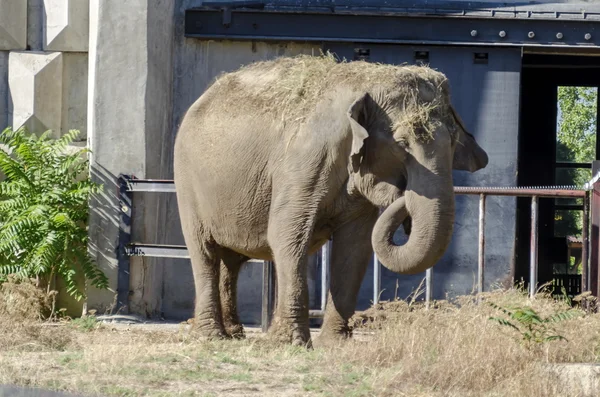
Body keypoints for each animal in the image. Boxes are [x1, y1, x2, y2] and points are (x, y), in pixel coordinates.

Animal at [172, 53, 488, 346]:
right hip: (187, 181)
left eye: (453, 143)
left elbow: (356, 245)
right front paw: (292, 343)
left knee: (231, 261)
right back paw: (212, 336)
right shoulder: (304, 162)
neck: (365, 84)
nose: (403, 193)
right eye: (401, 144)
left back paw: (234, 334)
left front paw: (335, 343)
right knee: (204, 252)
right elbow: (287, 235)